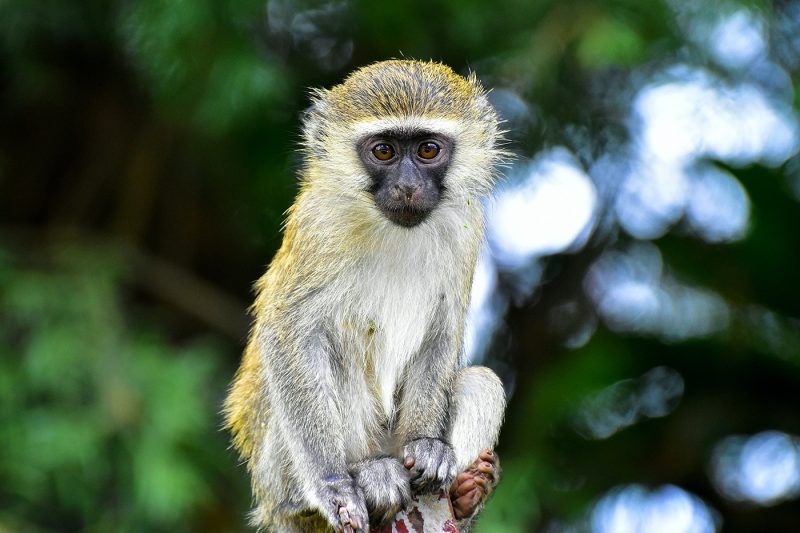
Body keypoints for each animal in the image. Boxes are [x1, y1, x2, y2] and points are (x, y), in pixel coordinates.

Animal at [225, 60, 510, 528]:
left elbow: (443, 329)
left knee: (481, 381)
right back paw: (354, 480)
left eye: (427, 150)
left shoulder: (465, 227)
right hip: (276, 470)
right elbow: (287, 333)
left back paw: (463, 496)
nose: (408, 186)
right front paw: (332, 484)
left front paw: (426, 445)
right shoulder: (319, 223)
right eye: (383, 152)